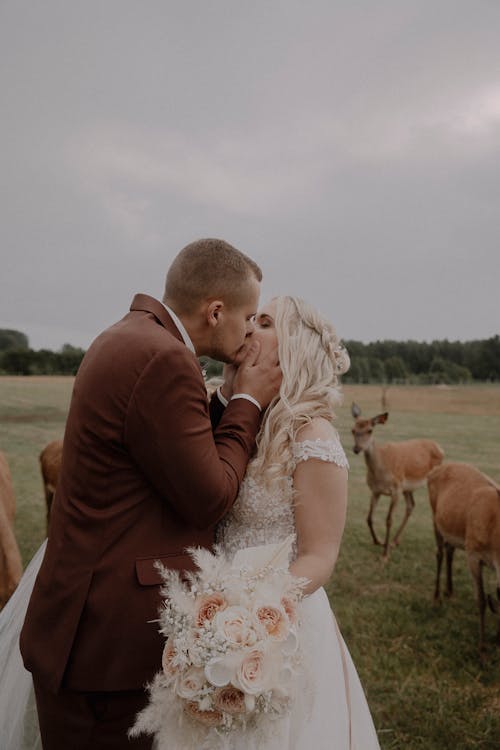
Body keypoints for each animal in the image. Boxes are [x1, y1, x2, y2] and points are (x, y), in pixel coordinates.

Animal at [350, 406, 444, 560]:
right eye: (353, 429)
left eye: (370, 430)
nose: (357, 449)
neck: (381, 472)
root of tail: (440, 448)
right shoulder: (375, 490)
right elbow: (369, 517)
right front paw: (379, 541)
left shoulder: (396, 490)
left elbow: (389, 520)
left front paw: (385, 555)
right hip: (407, 488)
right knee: (411, 505)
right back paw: (394, 541)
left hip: (425, 482)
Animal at [426, 464, 500, 656]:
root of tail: (435, 469)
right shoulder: (473, 553)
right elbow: (481, 599)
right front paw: (482, 648)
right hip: (434, 517)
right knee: (439, 553)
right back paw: (436, 597)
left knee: (449, 550)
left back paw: (449, 591)